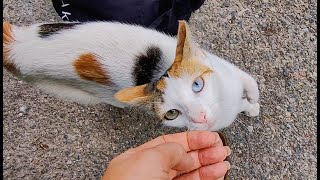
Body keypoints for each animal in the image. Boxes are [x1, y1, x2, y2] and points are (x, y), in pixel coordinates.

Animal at [2, 20, 258, 131]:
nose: (200, 118)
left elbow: (250, 82)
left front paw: (252, 105)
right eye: (172, 114)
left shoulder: (223, 66)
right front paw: (249, 107)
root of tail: (16, 45)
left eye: (197, 85)